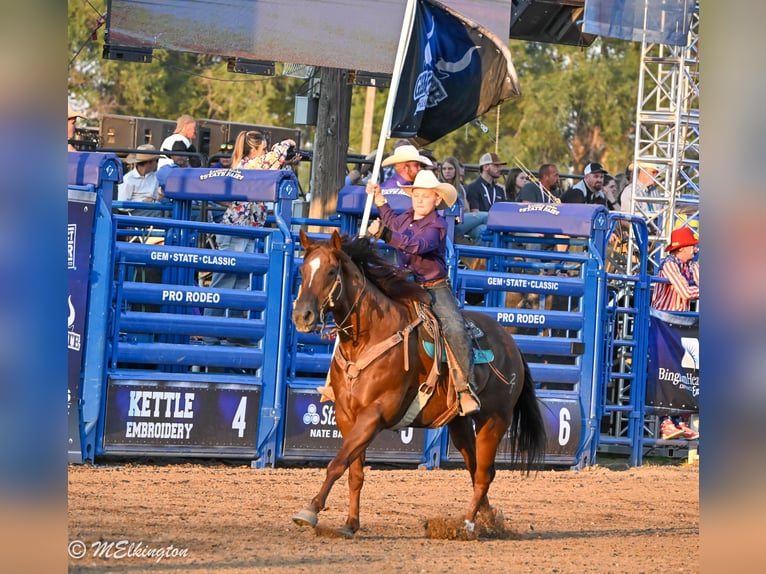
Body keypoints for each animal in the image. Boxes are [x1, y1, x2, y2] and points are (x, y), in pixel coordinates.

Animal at [291, 229, 546, 537]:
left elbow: (338, 463)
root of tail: (512, 344)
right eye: (303, 270)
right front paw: (350, 524)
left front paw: (310, 511)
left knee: (485, 473)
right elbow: (355, 472)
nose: (301, 316)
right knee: (475, 469)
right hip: (460, 423)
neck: (369, 338)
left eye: (331, 271)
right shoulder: (346, 415)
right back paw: (488, 520)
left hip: (494, 419)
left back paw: (467, 525)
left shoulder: (375, 414)